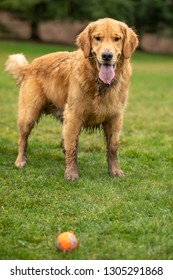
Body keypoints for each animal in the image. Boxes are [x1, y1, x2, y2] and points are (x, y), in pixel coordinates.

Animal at [5, 18, 138, 179]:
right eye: (97, 38)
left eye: (117, 38)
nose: (107, 56)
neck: (99, 83)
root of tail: (29, 66)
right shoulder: (74, 115)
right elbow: (73, 147)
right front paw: (71, 173)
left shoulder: (115, 117)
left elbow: (113, 147)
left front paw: (115, 171)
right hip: (29, 114)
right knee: (22, 139)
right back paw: (20, 161)